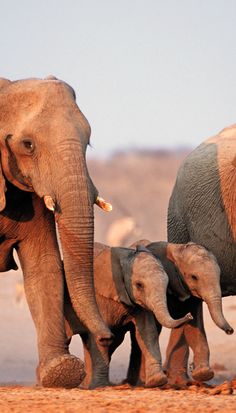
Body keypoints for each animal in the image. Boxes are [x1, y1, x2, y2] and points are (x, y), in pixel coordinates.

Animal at [64, 241, 192, 386]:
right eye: (139, 285)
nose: (189, 315)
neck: (126, 257)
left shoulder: (140, 302)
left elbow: (147, 331)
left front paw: (158, 380)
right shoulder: (98, 297)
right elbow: (99, 336)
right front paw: (98, 386)